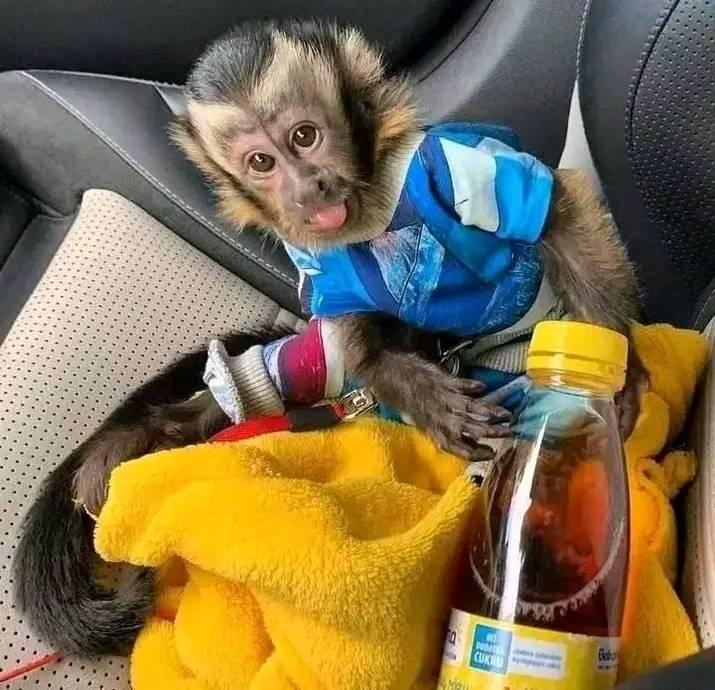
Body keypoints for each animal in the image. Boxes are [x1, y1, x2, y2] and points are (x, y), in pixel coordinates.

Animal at [13, 19, 643, 659]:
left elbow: (556, 211)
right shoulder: (316, 255)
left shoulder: (453, 164)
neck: (373, 211)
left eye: (306, 136)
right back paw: (172, 426)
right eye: (261, 161)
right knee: (310, 359)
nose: (307, 188)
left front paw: (623, 374)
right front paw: (419, 393)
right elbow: (353, 324)